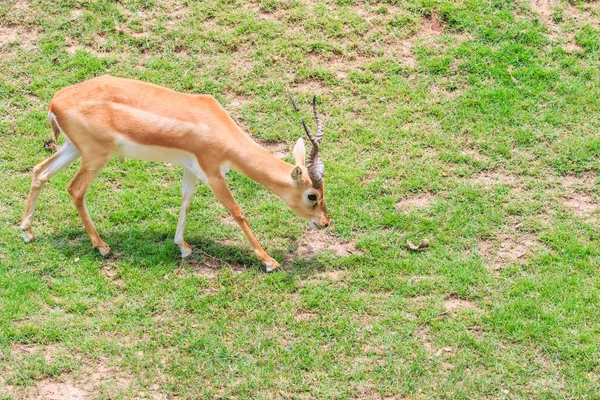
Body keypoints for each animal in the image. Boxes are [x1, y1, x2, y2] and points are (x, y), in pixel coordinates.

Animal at [21, 74, 328, 272]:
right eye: (312, 196)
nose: (324, 223)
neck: (218, 128)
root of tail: (55, 101)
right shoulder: (213, 173)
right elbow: (237, 212)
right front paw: (269, 261)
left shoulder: (190, 168)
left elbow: (185, 202)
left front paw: (183, 247)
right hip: (96, 157)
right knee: (75, 189)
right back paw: (102, 247)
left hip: (72, 148)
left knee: (39, 171)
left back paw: (27, 232)